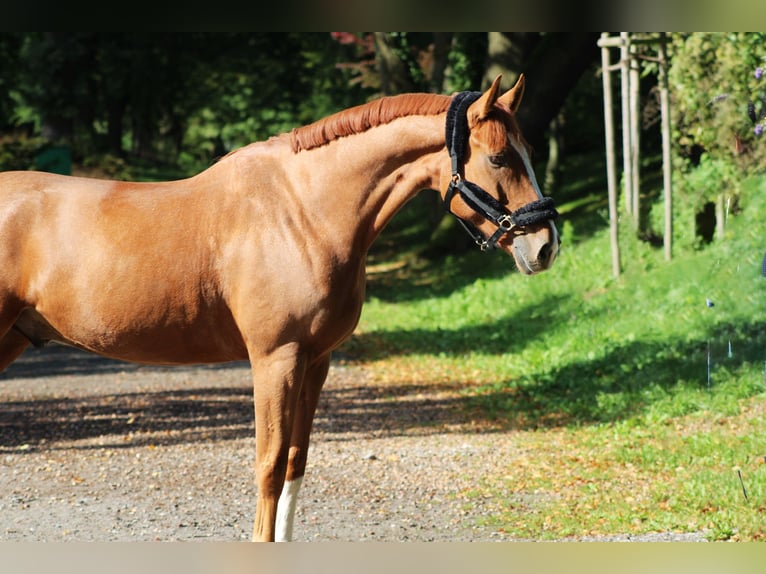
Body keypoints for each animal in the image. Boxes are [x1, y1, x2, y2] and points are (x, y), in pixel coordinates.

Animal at [0, 74, 560, 544]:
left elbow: (295, 459)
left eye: (529, 151)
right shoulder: (276, 359)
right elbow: (268, 464)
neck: (302, 212)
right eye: (499, 158)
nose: (545, 246)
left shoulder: (316, 360)